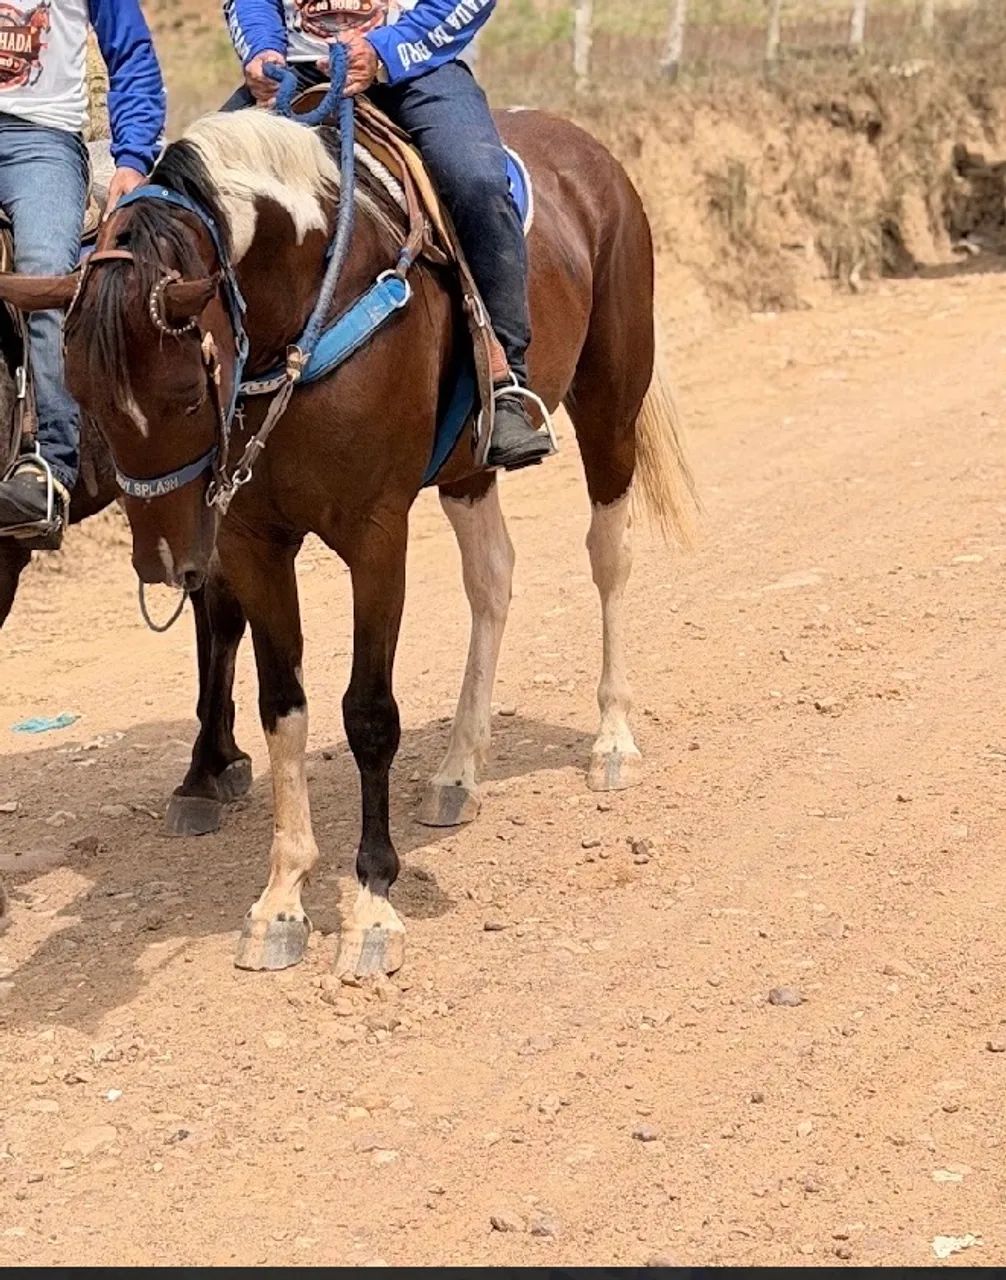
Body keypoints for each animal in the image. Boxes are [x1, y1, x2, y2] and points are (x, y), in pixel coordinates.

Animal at [0, 100, 696, 976]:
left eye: (187, 389)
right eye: (82, 392)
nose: (162, 565)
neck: (306, 312)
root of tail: (584, 145)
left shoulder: (375, 534)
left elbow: (368, 714)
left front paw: (371, 904)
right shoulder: (253, 542)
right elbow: (284, 707)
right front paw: (281, 899)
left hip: (609, 402)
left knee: (609, 560)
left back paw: (611, 740)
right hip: (467, 471)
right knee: (493, 580)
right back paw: (460, 771)